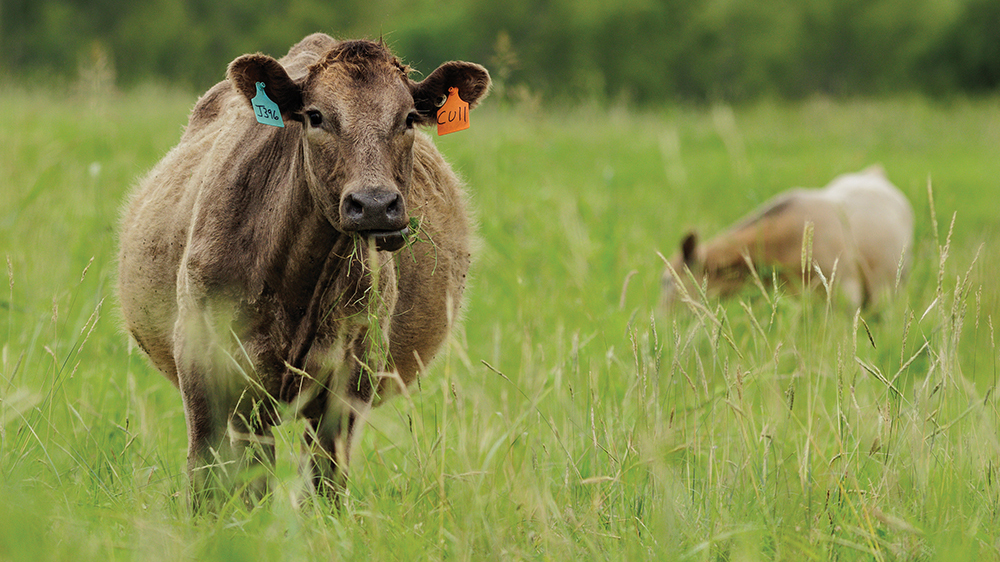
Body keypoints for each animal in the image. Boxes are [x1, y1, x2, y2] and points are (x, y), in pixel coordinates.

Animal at [117, 34, 490, 509]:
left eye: (408, 117)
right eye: (315, 116)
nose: (374, 203)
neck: (297, 287)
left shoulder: (350, 380)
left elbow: (324, 487)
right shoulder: (207, 366)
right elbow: (214, 478)